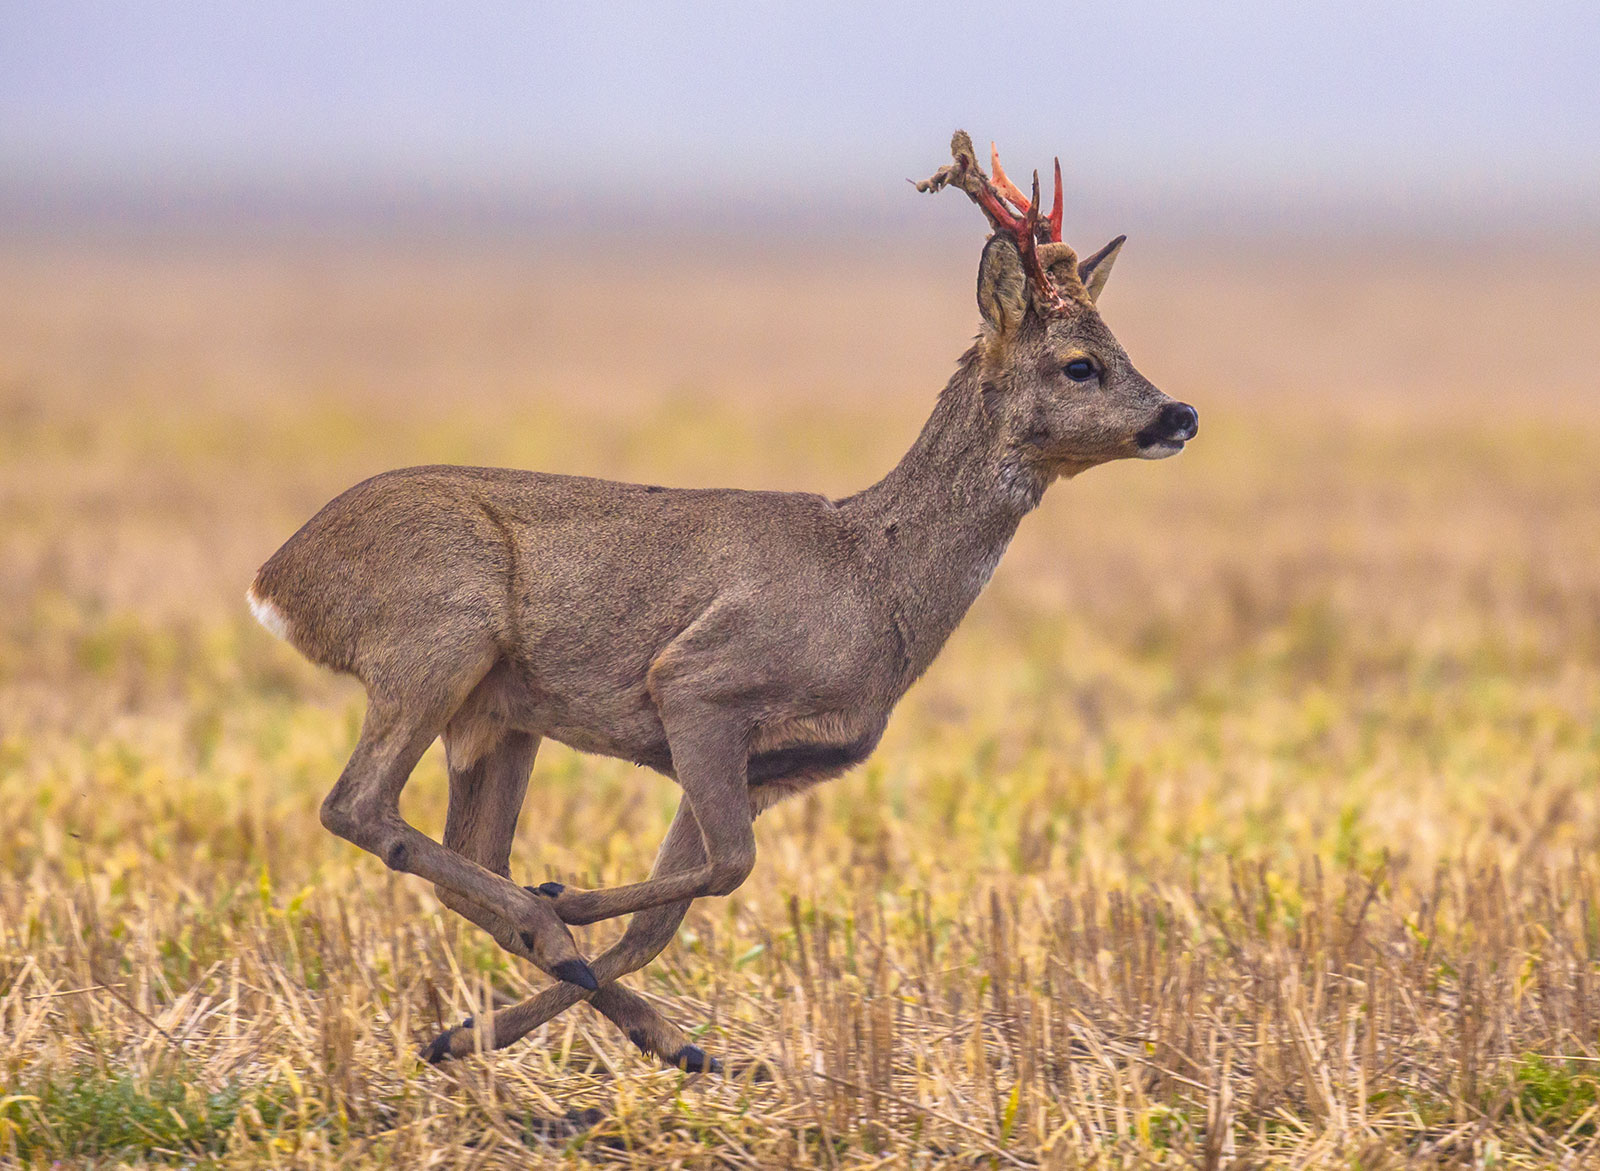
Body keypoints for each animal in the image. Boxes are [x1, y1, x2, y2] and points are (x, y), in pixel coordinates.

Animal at [249, 132, 1203, 1075]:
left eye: (1119, 346)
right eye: (1080, 364)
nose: (1181, 414)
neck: (874, 582)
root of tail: (278, 580)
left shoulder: (775, 763)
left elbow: (668, 915)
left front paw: (597, 1024)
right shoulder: (701, 680)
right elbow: (729, 867)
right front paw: (571, 903)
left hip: (498, 714)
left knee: (464, 847)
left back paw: (537, 1000)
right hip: (438, 633)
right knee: (357, 804)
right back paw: (547, 924)